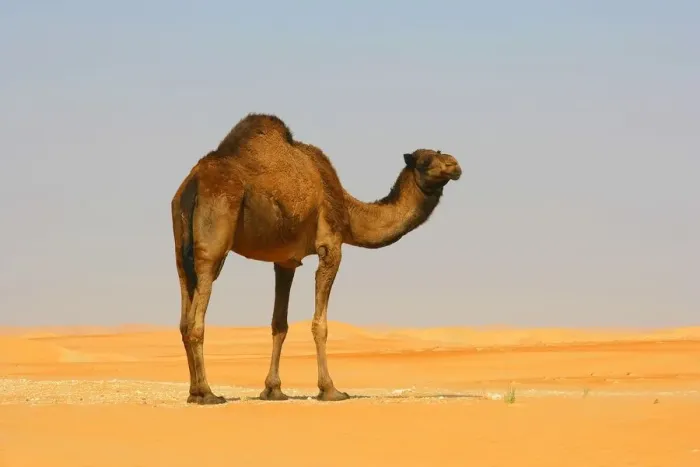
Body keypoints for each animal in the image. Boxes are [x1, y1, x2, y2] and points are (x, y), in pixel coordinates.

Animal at [171, 113, 462, 404]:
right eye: (426, 162)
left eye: (440, 154)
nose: (455, 165)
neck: (348, 212)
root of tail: (194, 183)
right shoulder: (331, 245)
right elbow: (319, 324)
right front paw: (330, 389)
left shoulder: (285, 260)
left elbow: (279, 323)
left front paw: (273, 390)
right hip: (215, 234)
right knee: (198, 315)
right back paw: (208, 393)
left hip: (180, 244)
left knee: (184, 315)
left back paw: (194, 392)